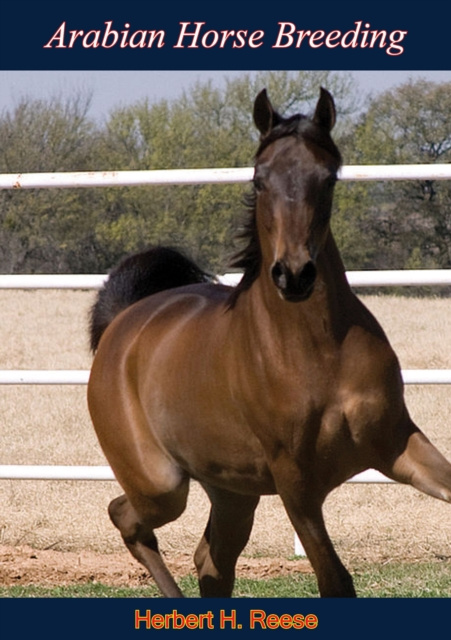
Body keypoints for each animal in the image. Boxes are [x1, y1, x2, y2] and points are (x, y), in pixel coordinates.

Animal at [87, 88, 451, 598]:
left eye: (328, 177)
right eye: (259, 180)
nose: (294, 274)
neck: (318, 351)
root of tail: (123, 321)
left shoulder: (395, 443)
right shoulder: (295, 481)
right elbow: (334, 580)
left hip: (232, 491)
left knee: (210, 561)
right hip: (162, 484)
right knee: (127, 517)